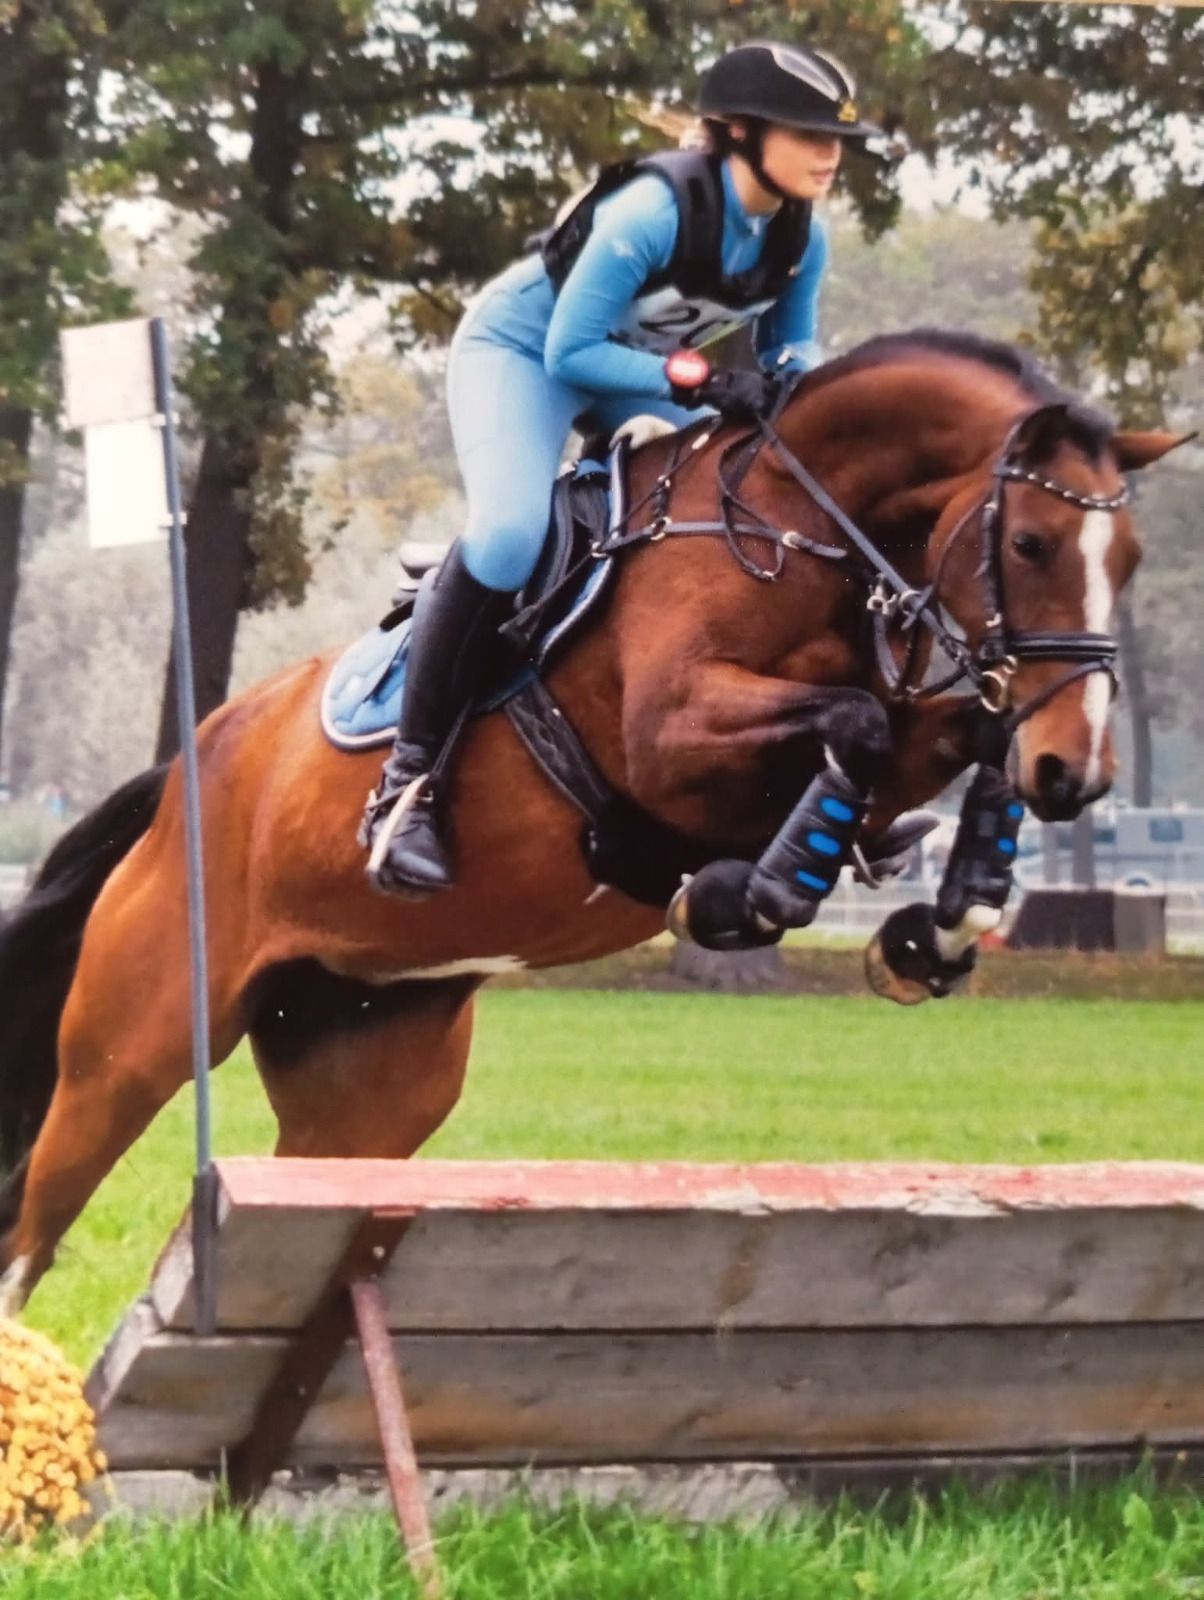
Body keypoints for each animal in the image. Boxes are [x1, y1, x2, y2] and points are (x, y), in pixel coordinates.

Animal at [0, 328, 1188, 1313]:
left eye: (1129, 561)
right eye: (1030, 545)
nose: (1078, 775)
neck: (789, 528)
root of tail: (183, 778)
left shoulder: (900, 732)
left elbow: (951, 732)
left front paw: (938, 923)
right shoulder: (672, 740)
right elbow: (852, 724)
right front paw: (752, 892)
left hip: (368, 1079)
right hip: (136, 1043)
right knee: (34, 1228)